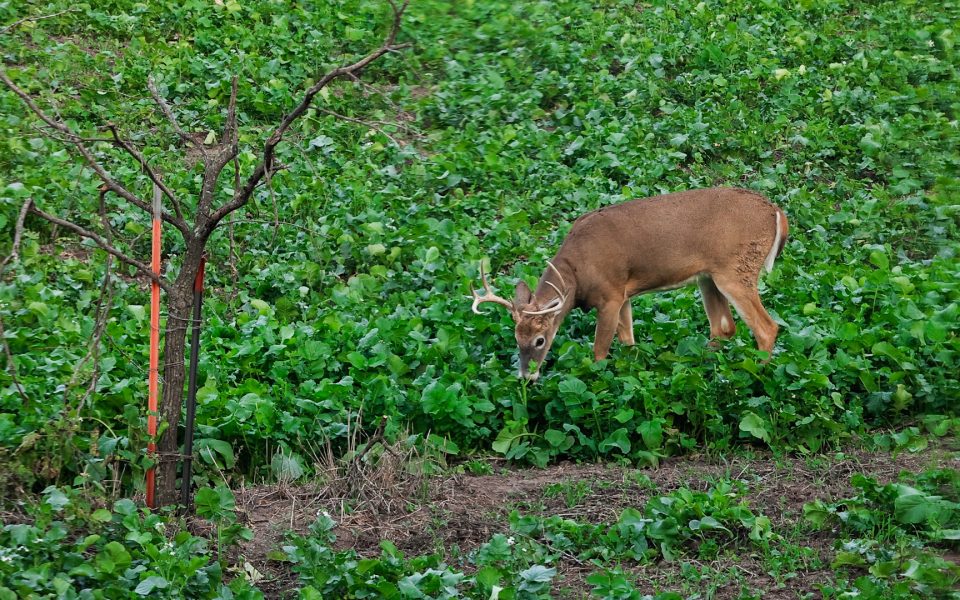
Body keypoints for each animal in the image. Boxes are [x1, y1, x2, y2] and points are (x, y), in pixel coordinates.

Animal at [470, 188, 788, 380]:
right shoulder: (624, 295)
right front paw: (631, 375)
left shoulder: (610, 295)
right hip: (708, 277)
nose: (527, 377)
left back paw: (758, 376)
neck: (577, 274)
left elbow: (599, 351)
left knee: (766, 327)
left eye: (540, 340)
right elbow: (628, 342)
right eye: (516, 339)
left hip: (734, 270)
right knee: (724, 327)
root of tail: (776, 212)